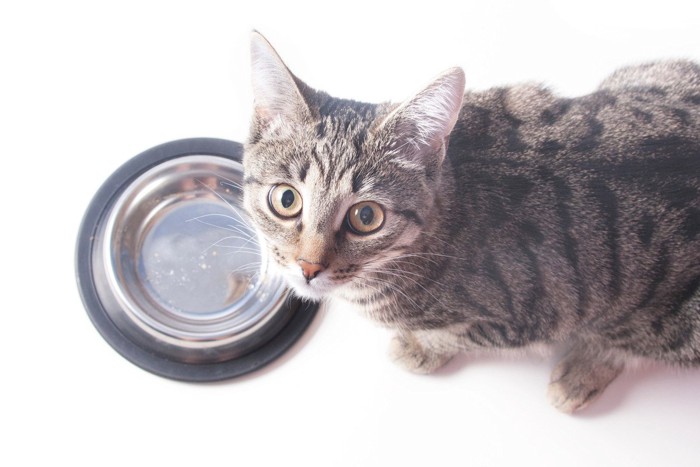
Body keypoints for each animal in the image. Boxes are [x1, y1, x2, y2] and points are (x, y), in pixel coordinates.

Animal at [242, 32, 700, 414]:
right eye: (286, 199)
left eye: (366, 217)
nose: (308, 267)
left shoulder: (529, 318)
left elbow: (454, 333)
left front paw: (420, 347)